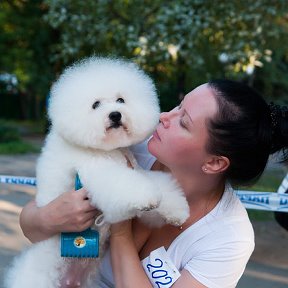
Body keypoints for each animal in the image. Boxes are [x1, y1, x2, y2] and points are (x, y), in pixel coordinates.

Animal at [5, 57, 189, 286]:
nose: (115, 115)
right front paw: (148, 199)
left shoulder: (136, 169)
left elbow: (161, 185)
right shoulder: (95, 172)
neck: (106, 150)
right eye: (95, 105)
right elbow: (126, 185)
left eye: (121, 100)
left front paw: (177, 211)